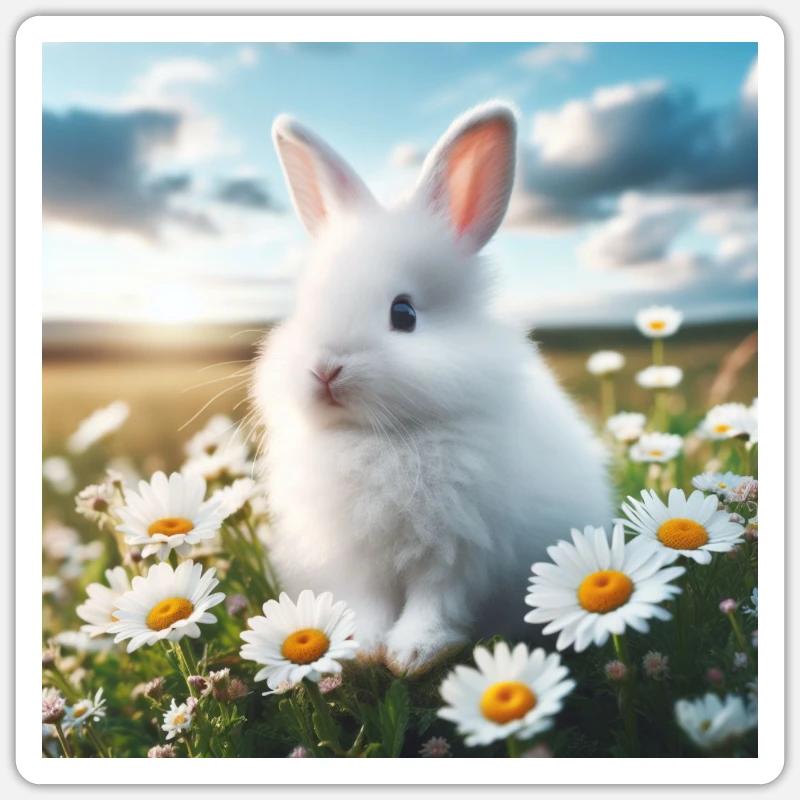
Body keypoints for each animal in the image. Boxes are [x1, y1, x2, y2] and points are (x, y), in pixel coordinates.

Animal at [252, 101, 613, 675]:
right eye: (304, 308)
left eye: (404, 313)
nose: (325, 369)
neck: (378, 438)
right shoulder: (357, 559)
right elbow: (370, 604)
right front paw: (357, 649)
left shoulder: (459, 551)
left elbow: (434, 603)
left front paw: (413, 654)